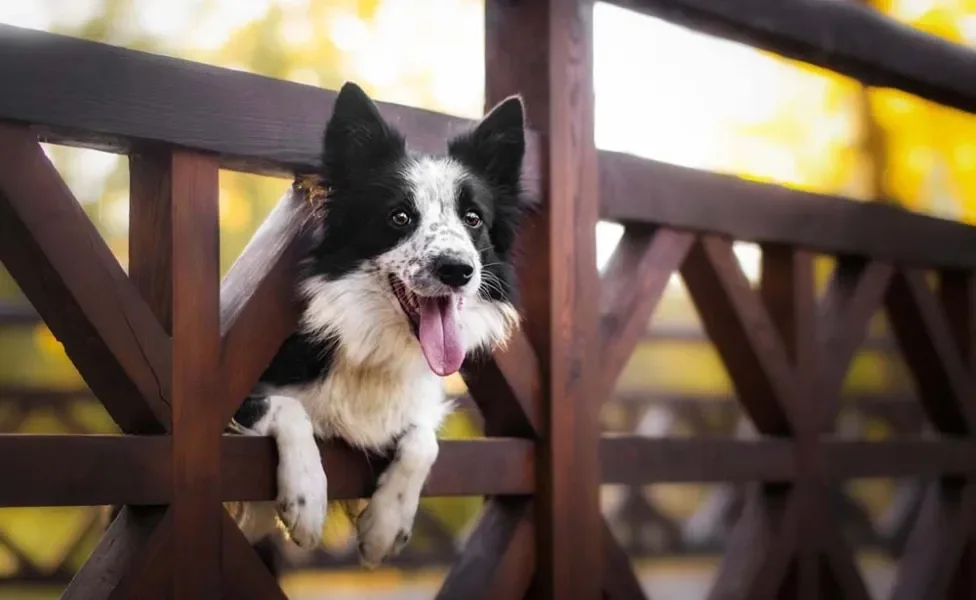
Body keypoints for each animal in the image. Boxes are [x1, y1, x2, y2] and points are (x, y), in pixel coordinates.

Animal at [227, 83, 532, 568]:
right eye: (400, 217)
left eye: (473, 219)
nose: (457, 270)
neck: (374, 348)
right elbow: (286, 407)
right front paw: (307, 499)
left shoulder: (420, 410)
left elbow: (424, 441)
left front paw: (385, 525)